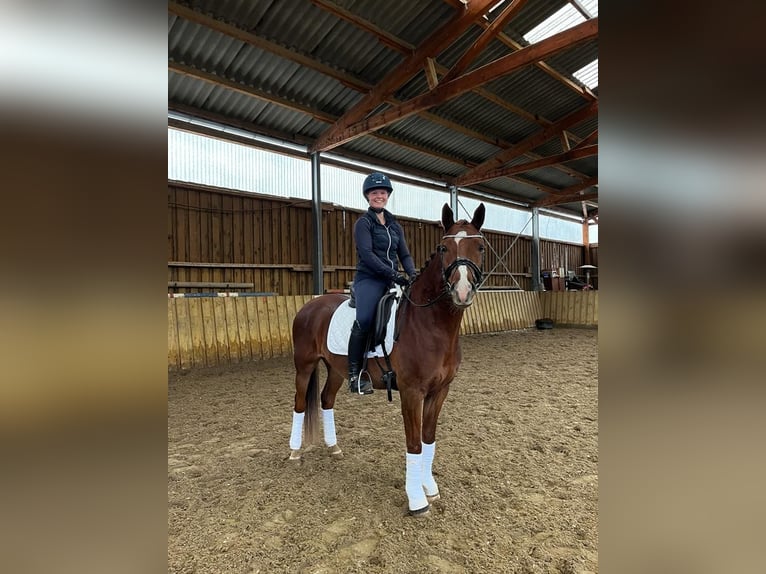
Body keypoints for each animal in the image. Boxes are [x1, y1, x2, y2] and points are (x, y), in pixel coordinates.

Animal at [288, 204, 486, 516]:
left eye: (480, 247)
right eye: (443, 248)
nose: (462, 291)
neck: (431, 324)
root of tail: (311, 305)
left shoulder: (440, 391)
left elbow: (428, 439)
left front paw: (430, 488)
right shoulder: (411, 392)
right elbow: (414, 443)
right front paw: (416, 501)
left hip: (337, 370)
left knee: (326, 400)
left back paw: (333, 447)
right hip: (304, 365)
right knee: (298, 403)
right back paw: (295, 452)